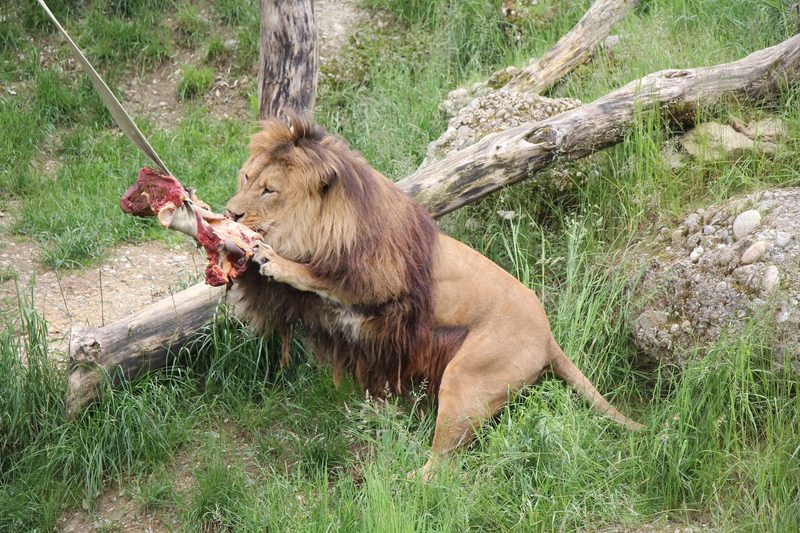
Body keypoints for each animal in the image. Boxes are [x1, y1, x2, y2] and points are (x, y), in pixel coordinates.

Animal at [225, 114, 643, 478]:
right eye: (245, 177)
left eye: (269, 190)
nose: (230, 213)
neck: (324, 226)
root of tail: (549, 337)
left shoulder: (374, 281)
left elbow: (313, 276)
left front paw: (273, 259)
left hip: (467, 378)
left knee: (444, 466)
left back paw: (404, 482)